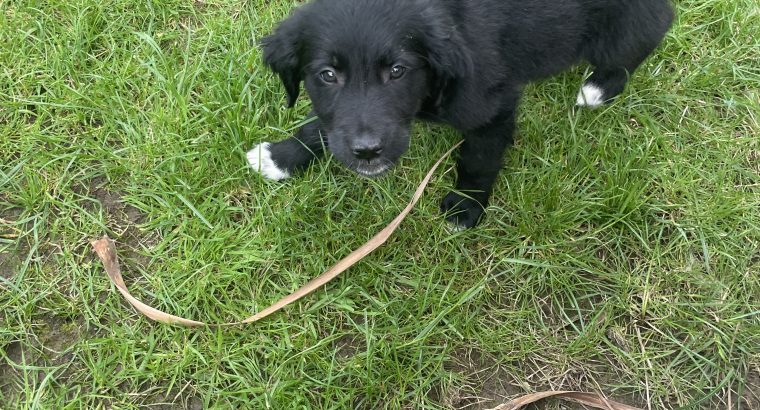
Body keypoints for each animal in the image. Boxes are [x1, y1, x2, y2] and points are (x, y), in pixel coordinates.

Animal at [249, 0, 672, 229]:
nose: (368, 152)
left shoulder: (492, 106)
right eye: (328, 75)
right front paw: (283, 156)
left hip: (623, 26)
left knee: (643, 37)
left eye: (398, 70)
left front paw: (465, 206)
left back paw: (598, 88)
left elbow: (478, 157)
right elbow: (325, 124)